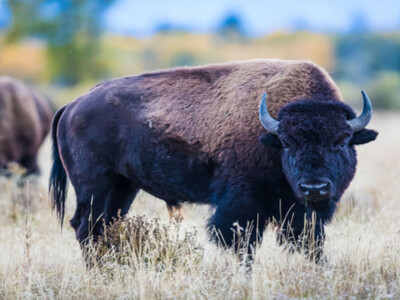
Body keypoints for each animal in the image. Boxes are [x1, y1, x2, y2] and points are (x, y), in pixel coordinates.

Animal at [48, 59, 376, 262]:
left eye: (342, 141)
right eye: (286, 143)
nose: (314, 188)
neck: (269, 132)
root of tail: (73, 105)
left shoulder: (299, 214)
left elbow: (310, 245)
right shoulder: (242, 206)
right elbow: (241, 245)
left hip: (123, 187)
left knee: (106, 227)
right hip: (94, 186)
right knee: (86, 228)